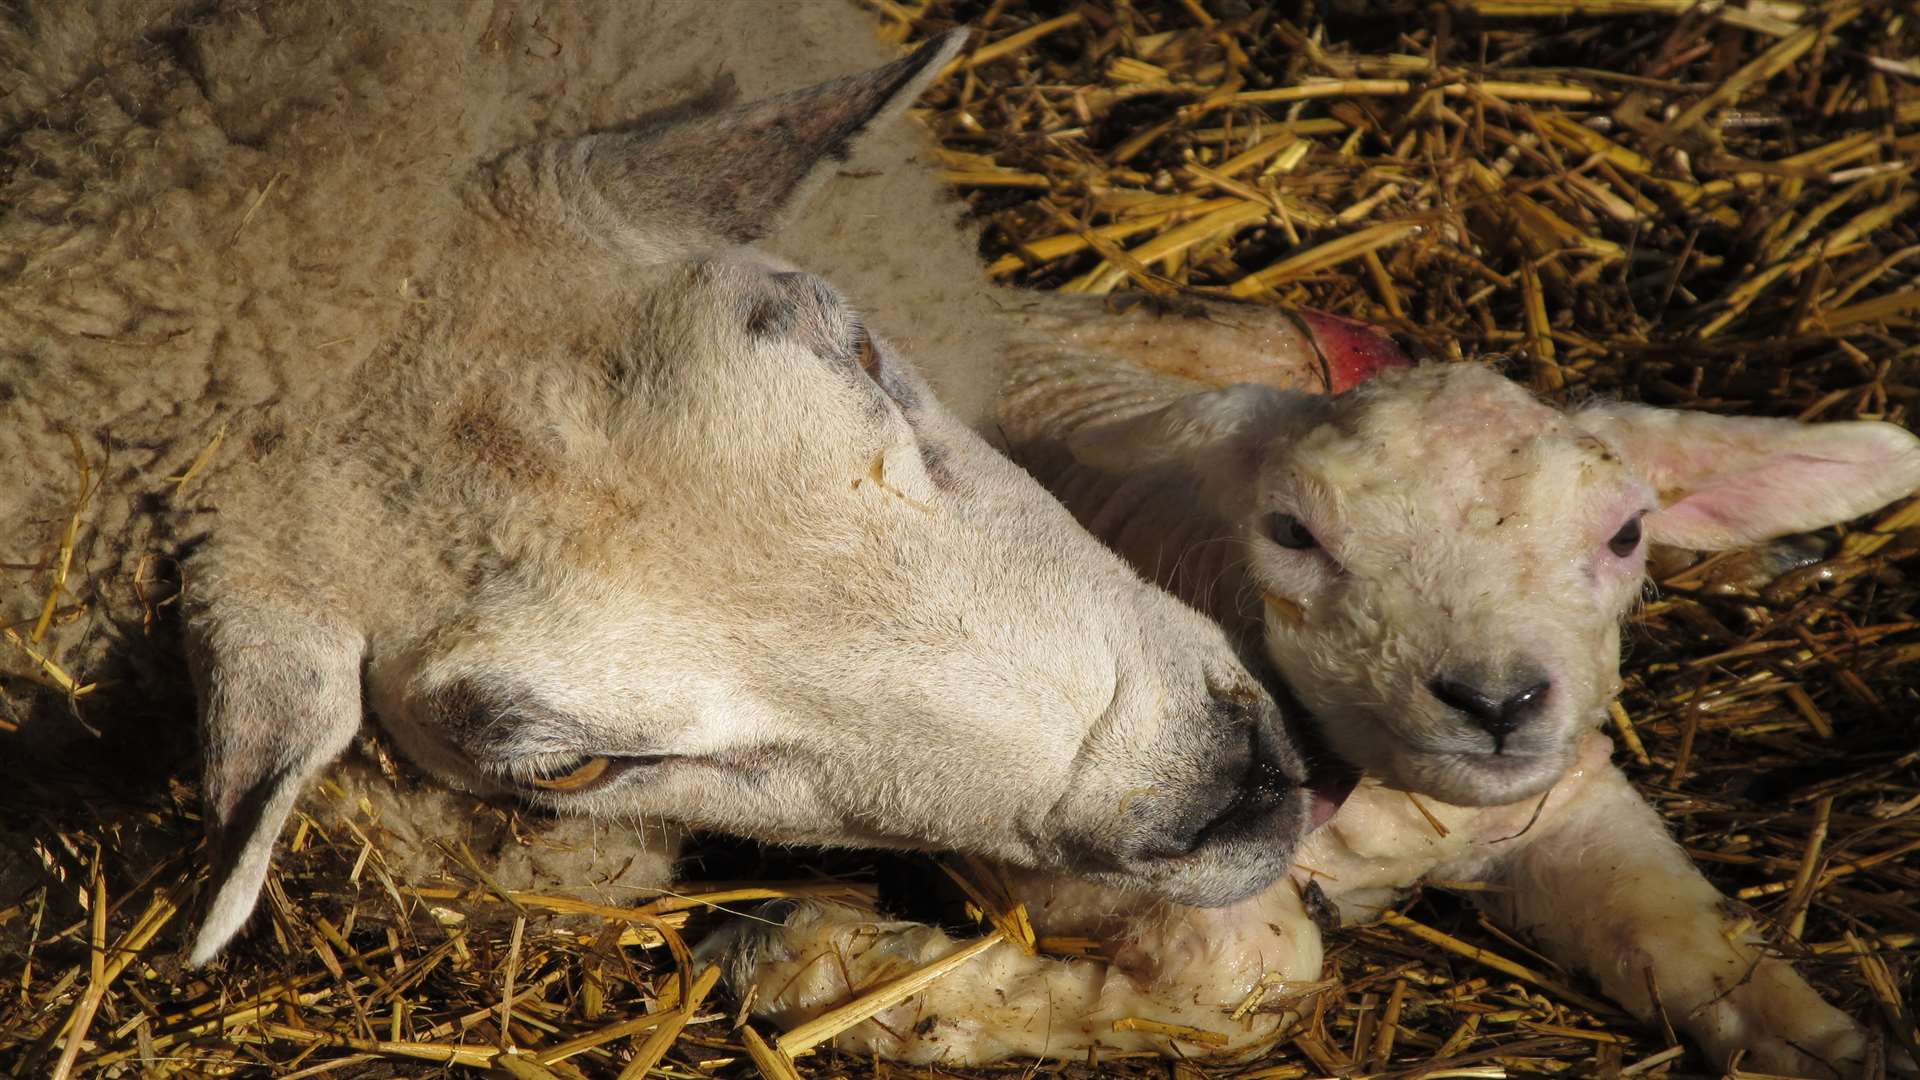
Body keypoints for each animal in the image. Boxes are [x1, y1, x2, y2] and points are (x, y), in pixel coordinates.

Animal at [729, 299, 1920, 1076]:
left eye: (1626, 534)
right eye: (1293, 535)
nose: (1494, 702)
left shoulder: (1570, 803)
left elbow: (1692, 937)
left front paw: (1831, 1041)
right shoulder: (1084, 852)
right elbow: (1255, 974)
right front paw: (821, 962)